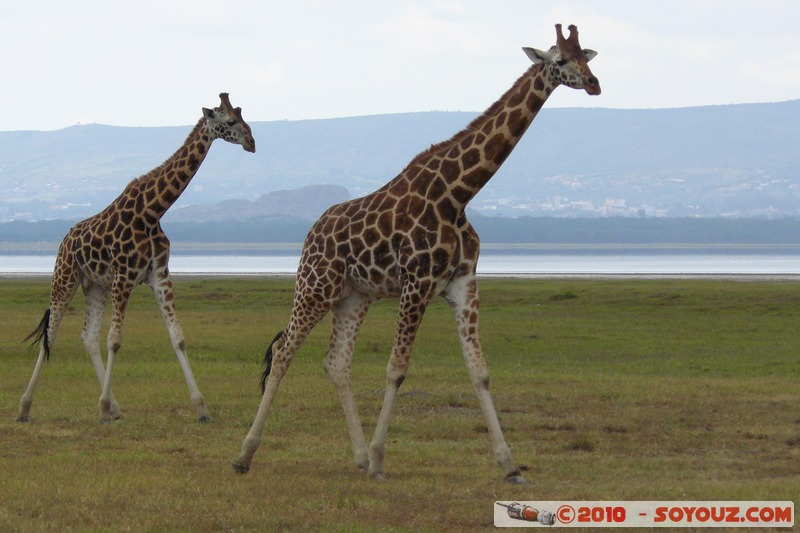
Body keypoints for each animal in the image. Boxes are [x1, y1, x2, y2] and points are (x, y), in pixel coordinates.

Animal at [17, 92, 255, 424]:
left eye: (244, 116)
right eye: (231, 121)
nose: (252, 142)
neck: (153, 211)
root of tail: (65, 239)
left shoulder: (160, 276)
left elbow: (178, 337)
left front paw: (202, 408)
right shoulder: (124, 277)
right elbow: (115, 340)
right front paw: (102, 407)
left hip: (95, 286)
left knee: (88, 336)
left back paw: (115, 408)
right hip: (64, 278)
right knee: (51, 335)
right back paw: (25, 408)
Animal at [231, 25, 600, 482]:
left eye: (587, 57)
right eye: (560, 60)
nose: (594, 84)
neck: (457, 195)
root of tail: (310, 234)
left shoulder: (463, 283)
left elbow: (480, 372)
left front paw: (510, 465)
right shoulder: (417, 284)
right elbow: (396, 369)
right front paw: (379, 461)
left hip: (354, 296)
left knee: (336, 362)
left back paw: (356, 457)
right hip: (315, 287)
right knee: (283, 352)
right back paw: (245, 455)